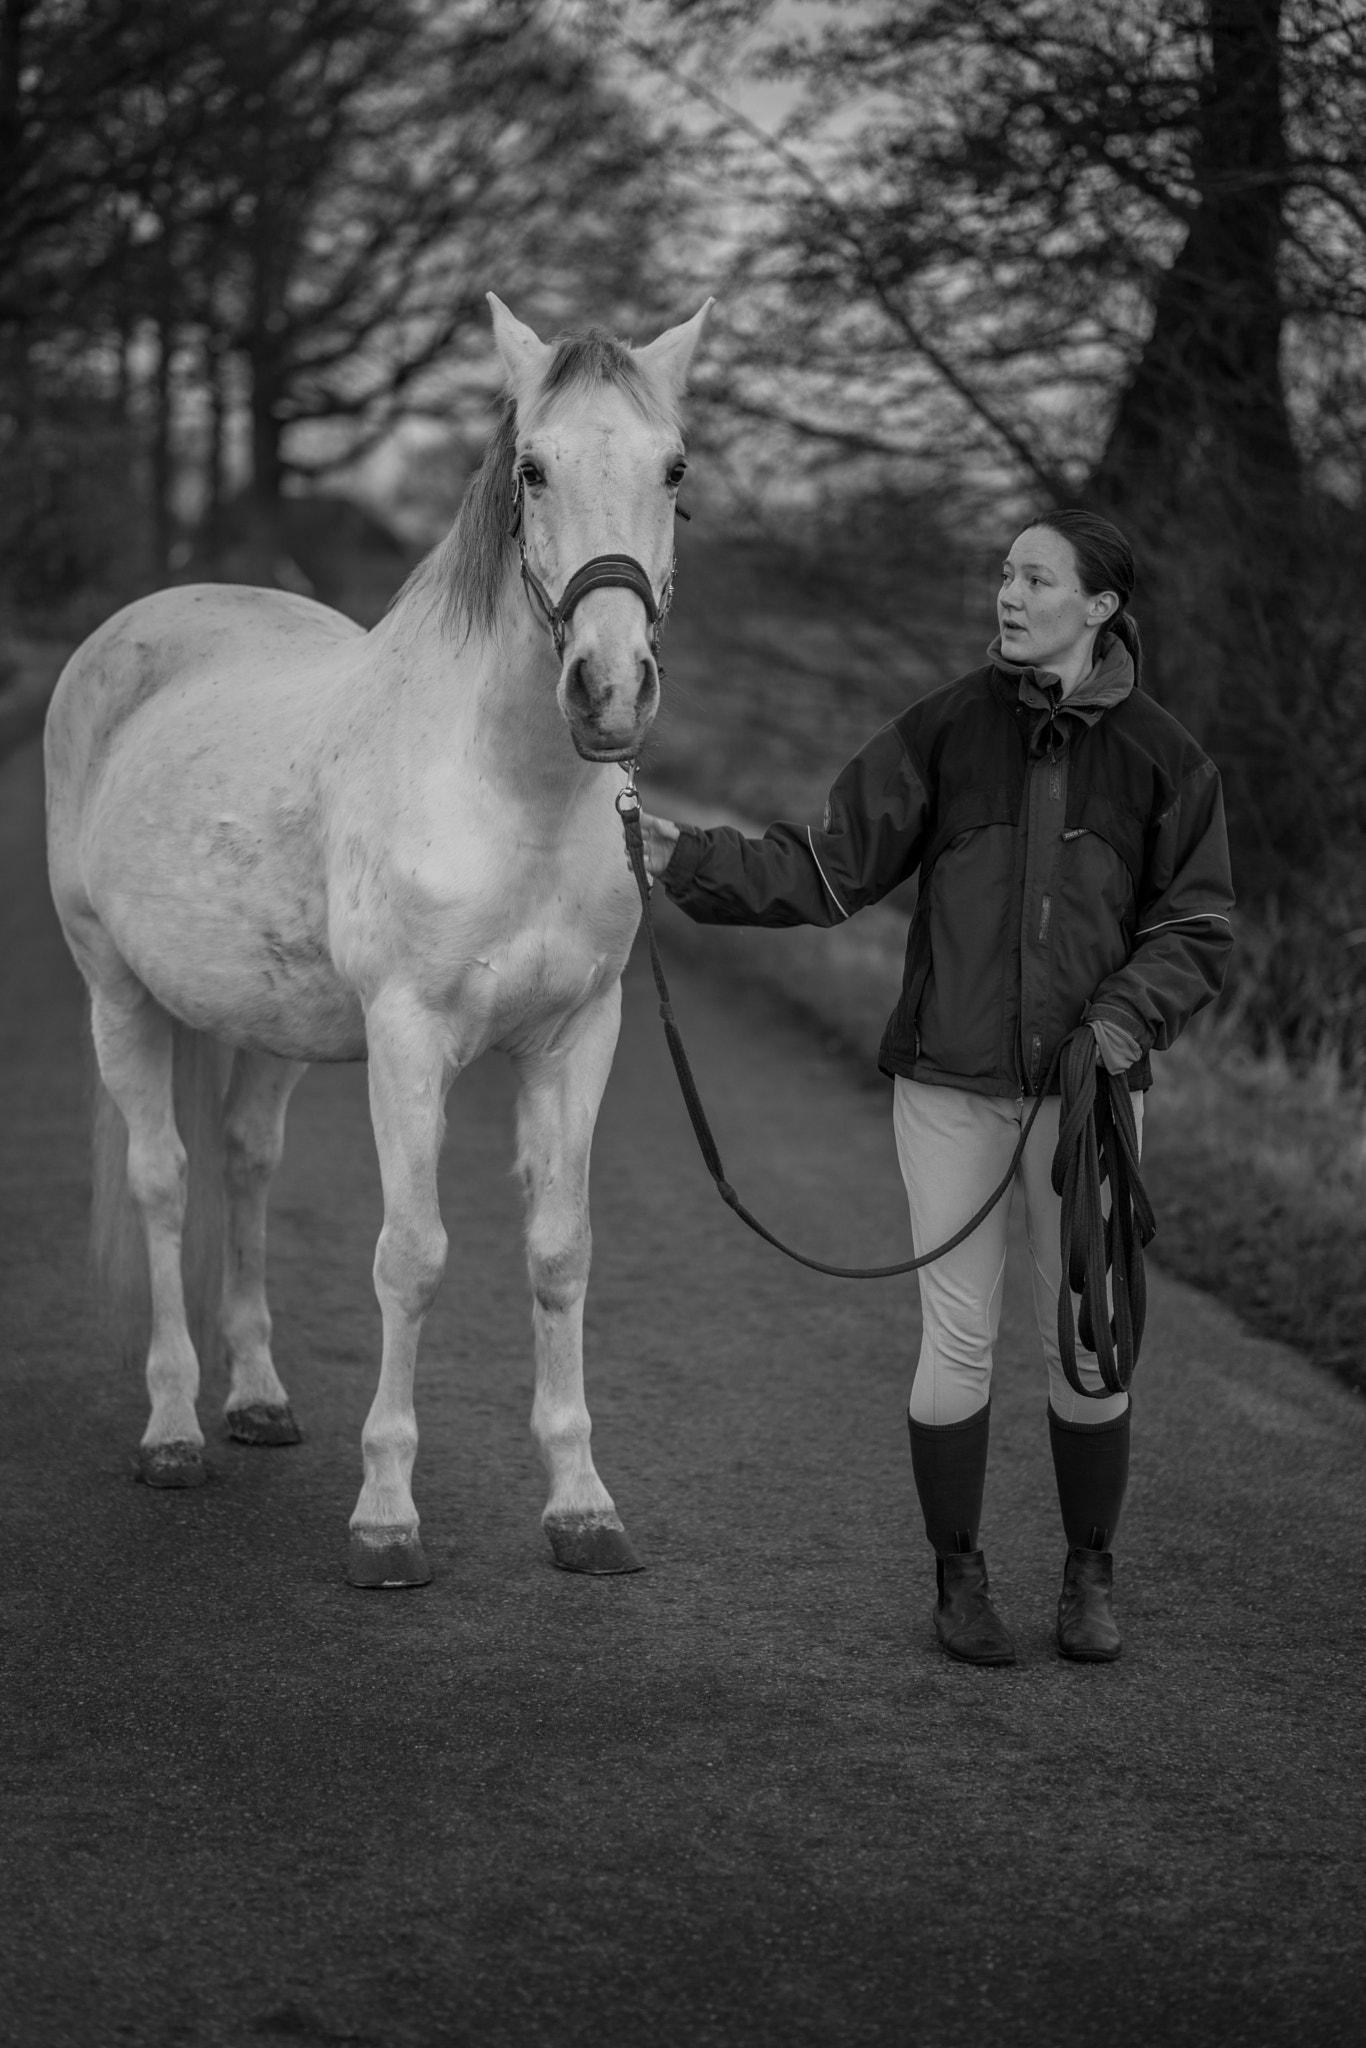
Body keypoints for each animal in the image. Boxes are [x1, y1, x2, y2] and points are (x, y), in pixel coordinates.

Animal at [45, 296, 704, 1589]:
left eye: (673, 469)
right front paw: (387, 1515)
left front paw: (582, 1506)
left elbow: (560, 1252)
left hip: (266, 1024)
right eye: (532, 467)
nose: (608, 689)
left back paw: (254, 1397)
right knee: (164, 1180)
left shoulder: (577, 1036)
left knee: (244, 1162)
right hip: (117, 991)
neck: (513, 791)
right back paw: (173, 1427)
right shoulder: (408, 1042)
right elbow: (412, 1255)